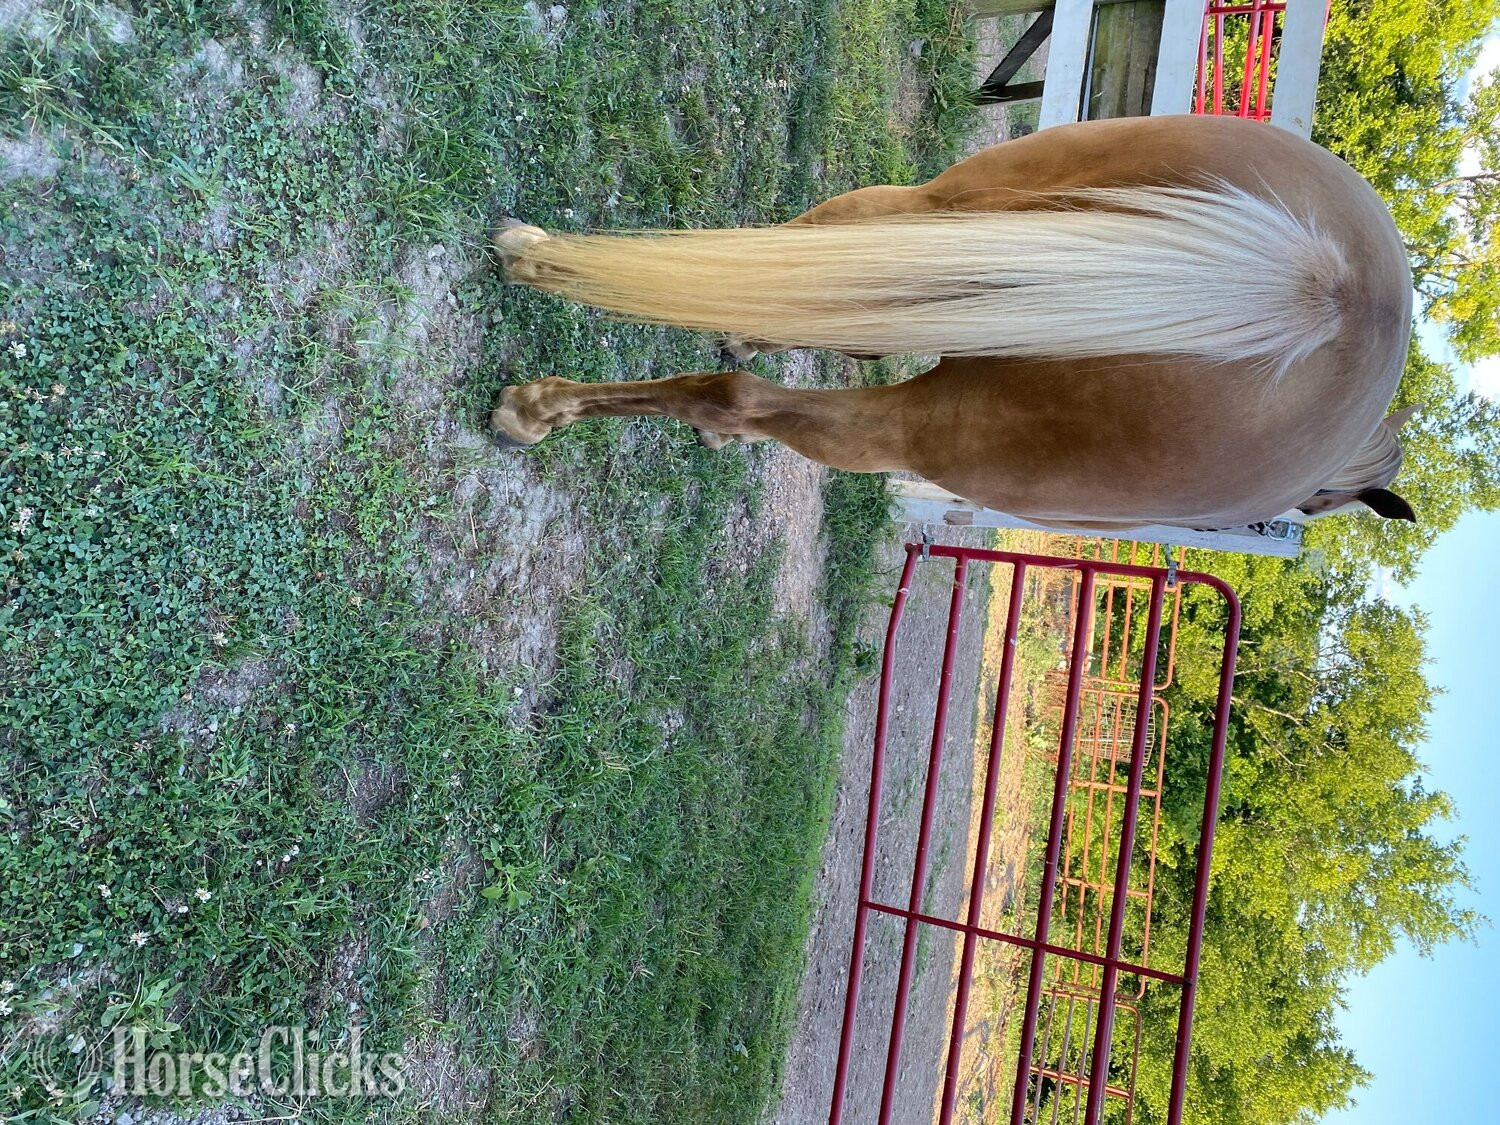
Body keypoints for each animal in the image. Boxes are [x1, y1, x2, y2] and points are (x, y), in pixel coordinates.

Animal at [488, 115, 1418, 531]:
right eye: (1320, 504)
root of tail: (1327, 289)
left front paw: (746, 325)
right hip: (927, 424)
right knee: (739, 400)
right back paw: (536, 405)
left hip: (936, 208)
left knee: (799, 258)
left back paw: (540, 263)